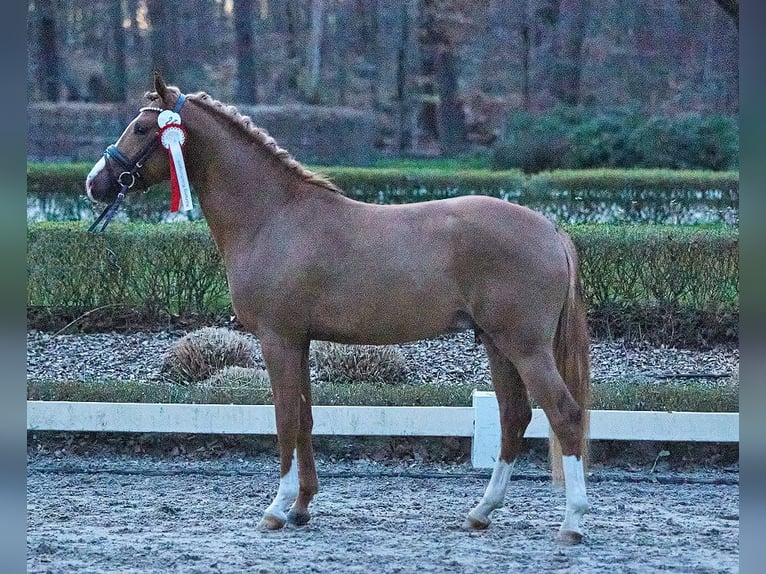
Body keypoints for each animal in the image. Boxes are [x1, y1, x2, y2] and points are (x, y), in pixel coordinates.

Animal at [88, 74, 592, 548]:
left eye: (141, 128)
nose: (95, 183)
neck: (273, 218)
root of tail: (550, 229)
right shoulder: (299, 342)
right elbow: (305, 419)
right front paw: (302, 508)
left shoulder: (277, 340)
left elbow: (285, 419)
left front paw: (276, 509)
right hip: (497, 345)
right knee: (514, 418)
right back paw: (481, 512)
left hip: (525, 348)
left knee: (564, 414)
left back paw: (571, 523)